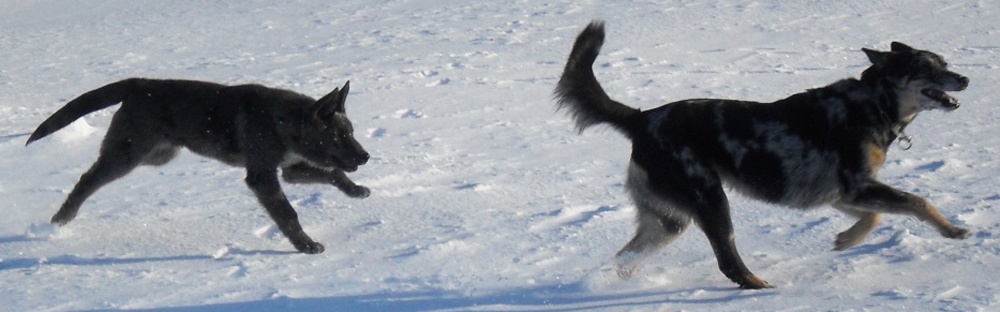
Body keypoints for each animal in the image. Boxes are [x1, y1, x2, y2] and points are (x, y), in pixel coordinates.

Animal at [26, 78, 372, 254]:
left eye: (352, 132)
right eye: (339, 136)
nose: (366, 157)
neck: (284, 123)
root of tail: (138, 83)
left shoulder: (290, 169)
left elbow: (333, 173)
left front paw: (355, 190)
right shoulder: (262, 176)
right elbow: (287, 214)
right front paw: (305, 245)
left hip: (158, 154)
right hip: (129, 154)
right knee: (88, 179)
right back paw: (61, 219)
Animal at [552, 20, 972, 288]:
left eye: (944, 63)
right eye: (925, 66)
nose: (965, 79)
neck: (874, 103)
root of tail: (642, 118)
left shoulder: (840, 192)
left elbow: (876, 216)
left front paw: (846, 240)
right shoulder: (856, 186)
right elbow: (917, 202)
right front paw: (953, 230)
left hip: (670, 219)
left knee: (626, 257)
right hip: (709, 200)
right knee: (728, 262)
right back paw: (759, 286)